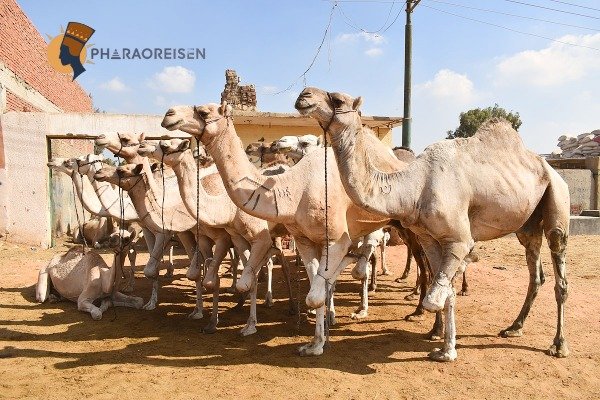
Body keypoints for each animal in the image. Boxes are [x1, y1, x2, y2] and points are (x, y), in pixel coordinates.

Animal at [136, 139, 296, 336]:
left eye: (165, 145)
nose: (142, 146)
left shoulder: (229, 237)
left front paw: (243, 324)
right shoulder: (221, 238)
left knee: (283, 263)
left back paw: (286, 305)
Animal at [162, 102, 392, 356]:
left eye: (204, 112)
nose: (169, 114)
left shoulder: (320, 238)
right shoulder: (280, 238)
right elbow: (290, 284)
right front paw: (314, 342)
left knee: (370, 263)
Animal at [298, 87, 568, 362]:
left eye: (338, 99)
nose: (304, 95)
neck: (415, 187)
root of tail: (549, 167)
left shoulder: (458, 239)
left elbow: (437, 295)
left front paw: (447, 348)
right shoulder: (429, 237)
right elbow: (445, 290)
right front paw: (442, 342)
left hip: (557, 197)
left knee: (559, 268)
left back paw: (558, 344)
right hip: (528, 224)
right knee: (535, 271)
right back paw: (515, 327)